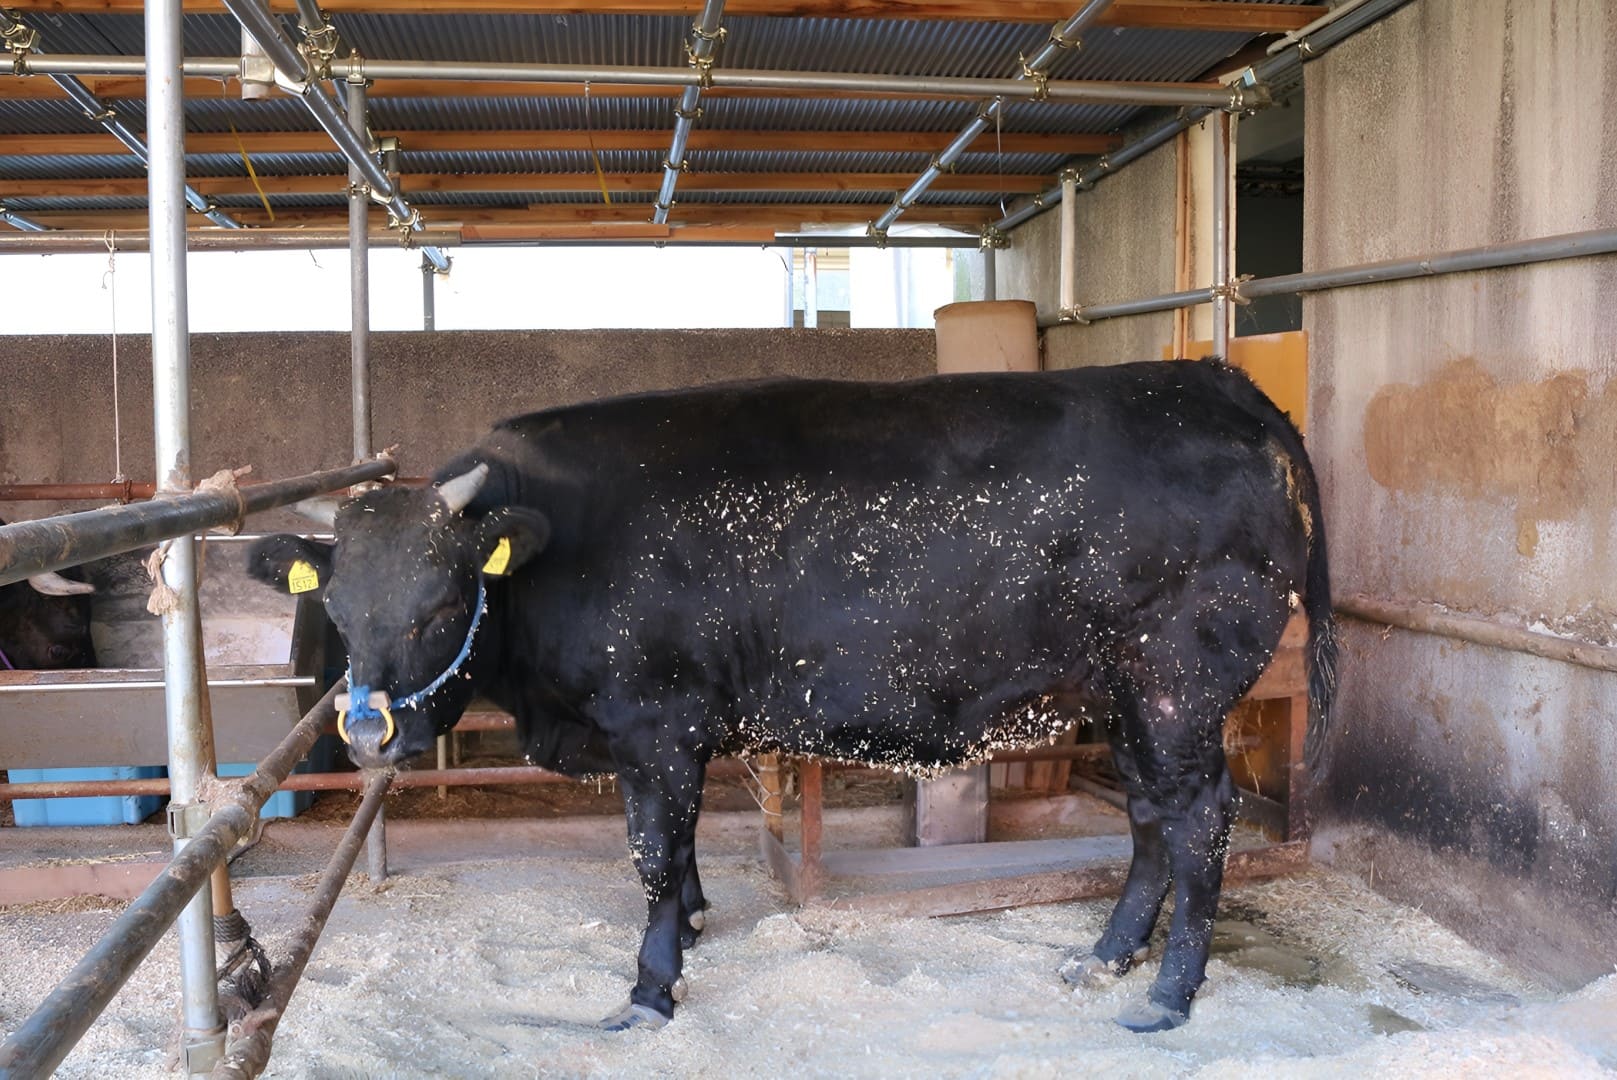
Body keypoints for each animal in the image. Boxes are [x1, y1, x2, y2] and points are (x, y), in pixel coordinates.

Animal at [249, 358, 1338, 1034]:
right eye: (337, 608)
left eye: (441, 604)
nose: (367, 734)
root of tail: (1209, 379)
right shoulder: (674, 736)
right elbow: (681, 848)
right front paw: (693, 926)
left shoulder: (655, 722)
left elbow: (652, 855)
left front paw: (650, 989)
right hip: (1121, 695)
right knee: (1151, 817)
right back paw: (1105, 957)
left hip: (1177, 685)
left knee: (1198, 819)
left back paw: (1167, 994)